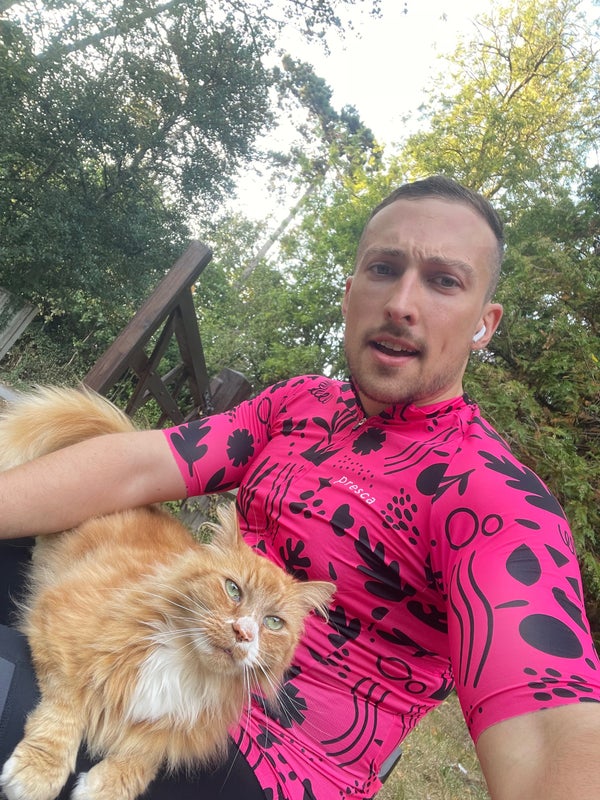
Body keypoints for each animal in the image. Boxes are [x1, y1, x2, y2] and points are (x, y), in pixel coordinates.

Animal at [0, 386, 335, 800]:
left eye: (273, 623)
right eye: (233, 589)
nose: (243, 632)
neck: (185, 665)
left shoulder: (174, 735)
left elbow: (144, 755)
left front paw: (108, 786)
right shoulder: (56, 629)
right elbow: (65, 708)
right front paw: (40, 770)